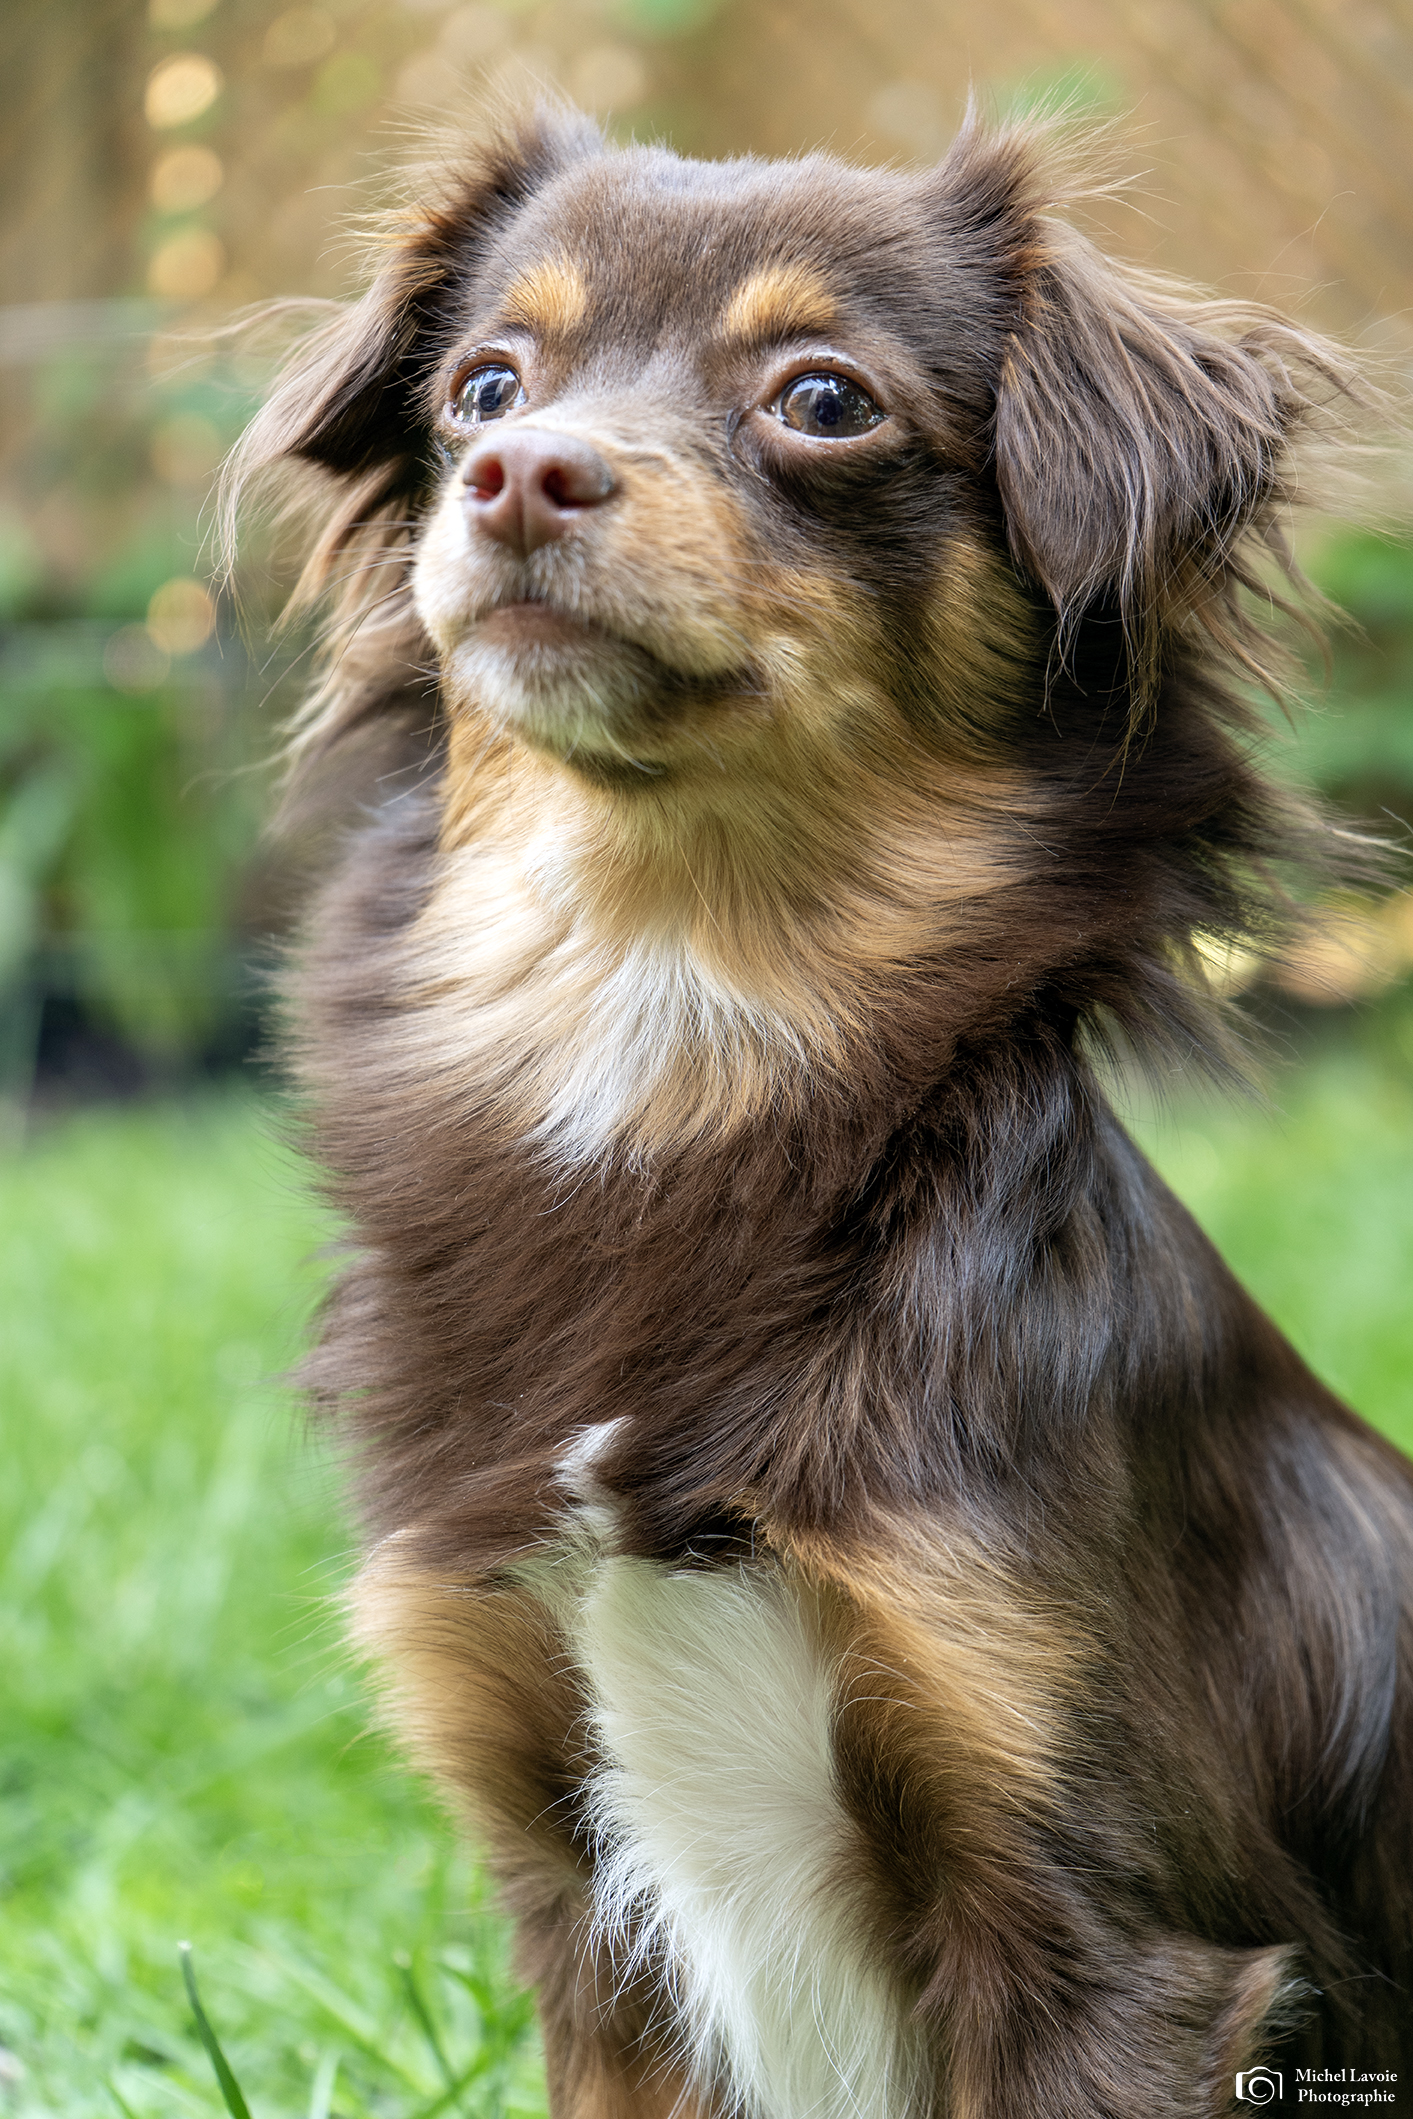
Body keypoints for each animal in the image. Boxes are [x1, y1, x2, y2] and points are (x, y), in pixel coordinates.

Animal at [229, 104, 1413, 2114]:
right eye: (483, 387)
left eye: (822, 401)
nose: (518, 474)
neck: (674, 1008)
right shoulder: (577, 1903)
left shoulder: (1106, 1934)